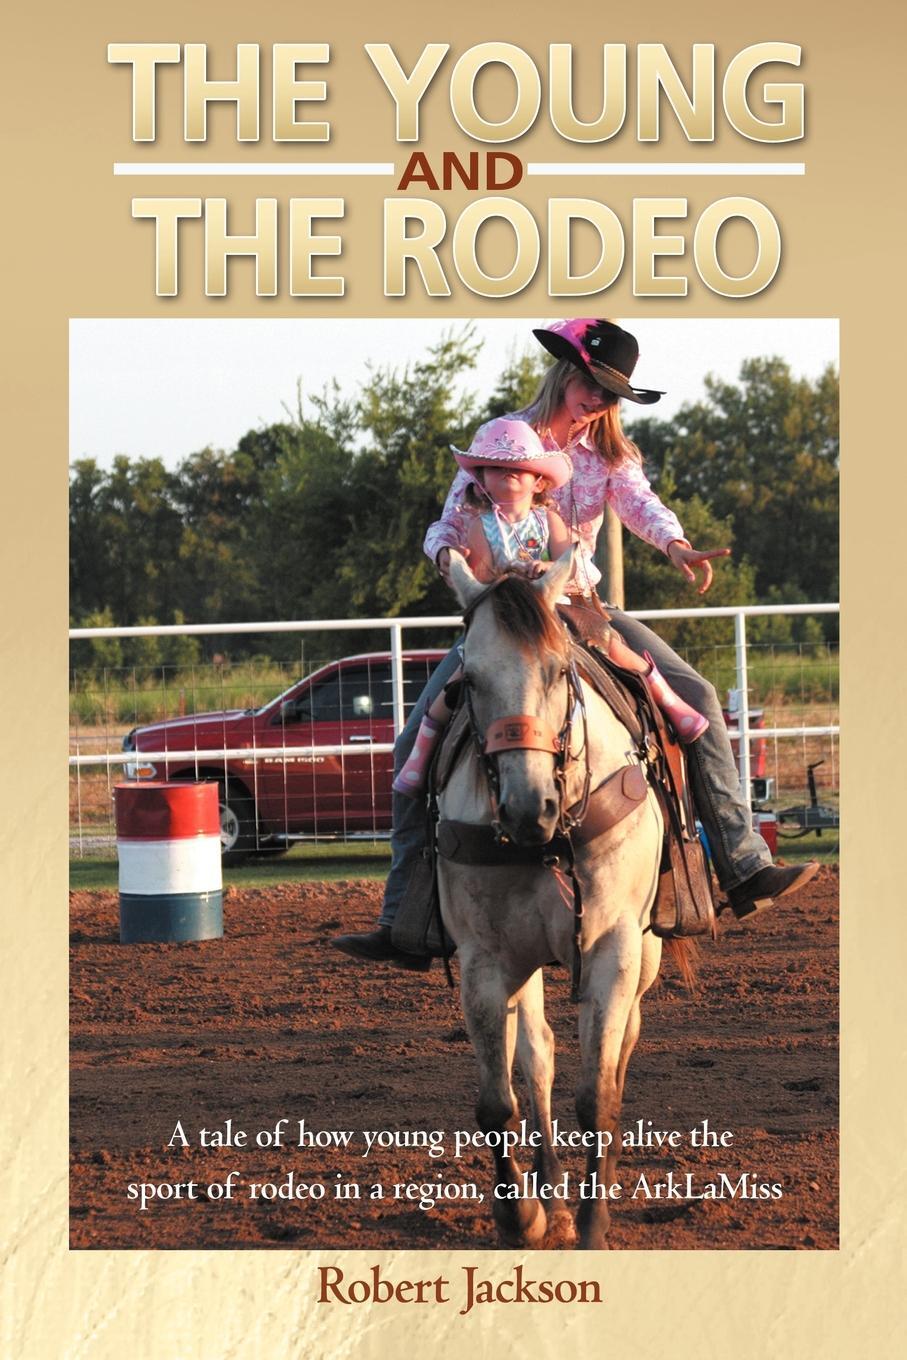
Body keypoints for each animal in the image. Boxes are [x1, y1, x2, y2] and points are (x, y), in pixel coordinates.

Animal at [440, 546, 679, 1245]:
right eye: (468, 683)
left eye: (557, 669)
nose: (529, 808)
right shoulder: (485, 961)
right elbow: (499, 1099)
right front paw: (520, 1216)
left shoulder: (614, 946)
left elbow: (597, 1094)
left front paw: (596, 1223)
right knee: (538, 1055)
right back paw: (549, 1194)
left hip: (646, 954)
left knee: (622, 1048)